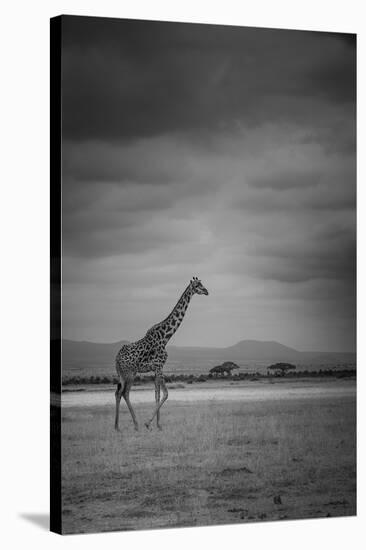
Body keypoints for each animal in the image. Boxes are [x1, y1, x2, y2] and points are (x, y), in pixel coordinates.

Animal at [113, 278, 210, 434]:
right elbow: (165, 394)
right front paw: (148, 423)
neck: (166, 337)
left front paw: (158, 425)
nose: (207, 291)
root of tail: (117, 358)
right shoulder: (159, 366)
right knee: (125, 393)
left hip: (122, 373)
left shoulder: (157, 368)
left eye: (202, 283)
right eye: (197, 285)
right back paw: (136, 424)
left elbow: (157, 395)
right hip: (130, 373)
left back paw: (117, 426)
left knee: (118, 393)